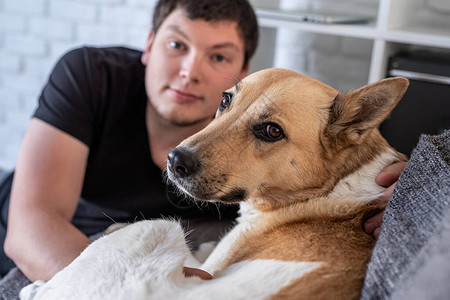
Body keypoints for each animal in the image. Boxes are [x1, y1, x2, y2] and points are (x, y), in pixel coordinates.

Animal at [20, 69, 408, 300]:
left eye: (272, 131)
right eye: (225, 100)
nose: (174, 160)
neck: (332, 185)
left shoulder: (212, 261)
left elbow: (203, 255)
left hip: (154, 227)